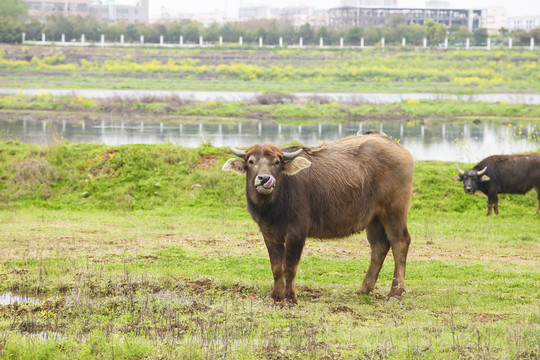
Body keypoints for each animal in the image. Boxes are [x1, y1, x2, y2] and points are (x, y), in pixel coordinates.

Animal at [221, 134, 416, 302]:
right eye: (251, 161)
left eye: (276, 162)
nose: (264, 178)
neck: (275, 205)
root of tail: (401, 150)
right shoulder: (269, 233)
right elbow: (276, 268)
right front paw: (276, 296)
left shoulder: (296, 233)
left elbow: (289, 267)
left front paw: (290, 298)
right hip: (374, 218)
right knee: (379, 246)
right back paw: (364, 289)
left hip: (394, 211)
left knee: (399, 242)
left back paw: (395, 292)